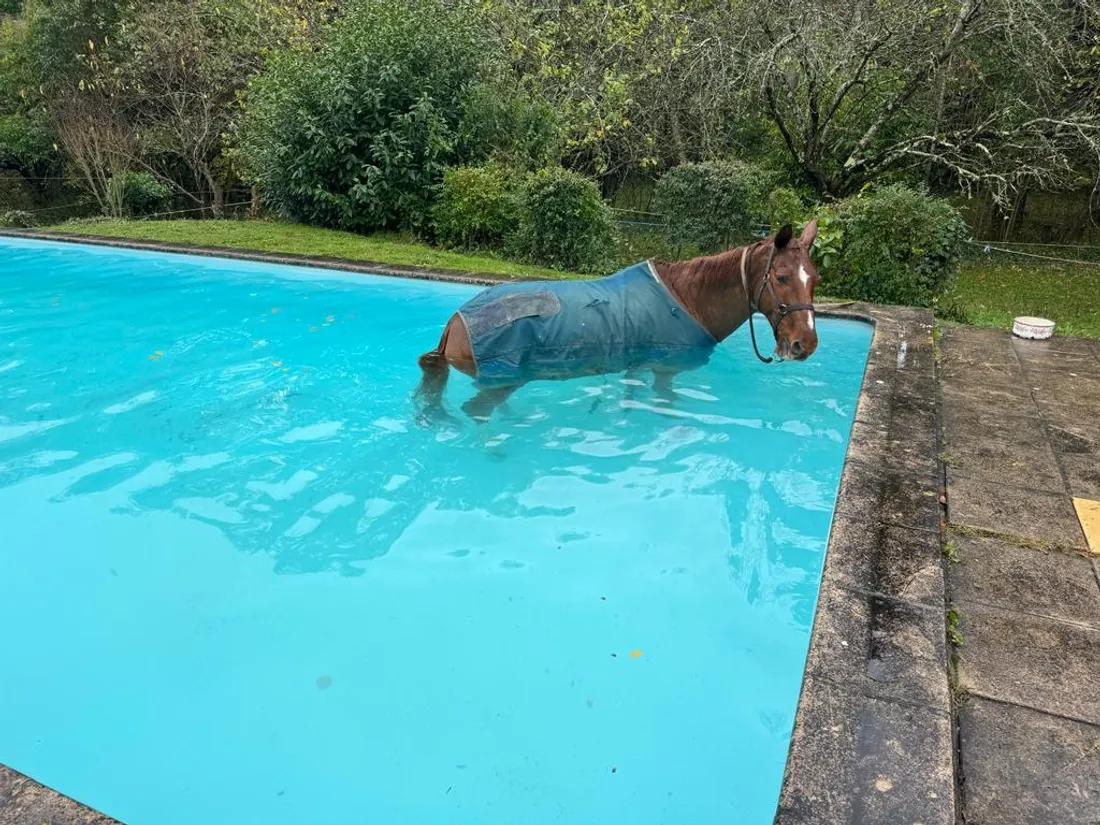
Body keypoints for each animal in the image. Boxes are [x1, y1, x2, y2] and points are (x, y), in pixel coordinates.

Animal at [415, 220, 822, 422]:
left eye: (814, 278)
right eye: (781, 277)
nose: (805, 344)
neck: (687, 299)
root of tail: (454, 325)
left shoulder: (636, 366)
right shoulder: (663, 371)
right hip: (502, 380)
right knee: (477, 411)